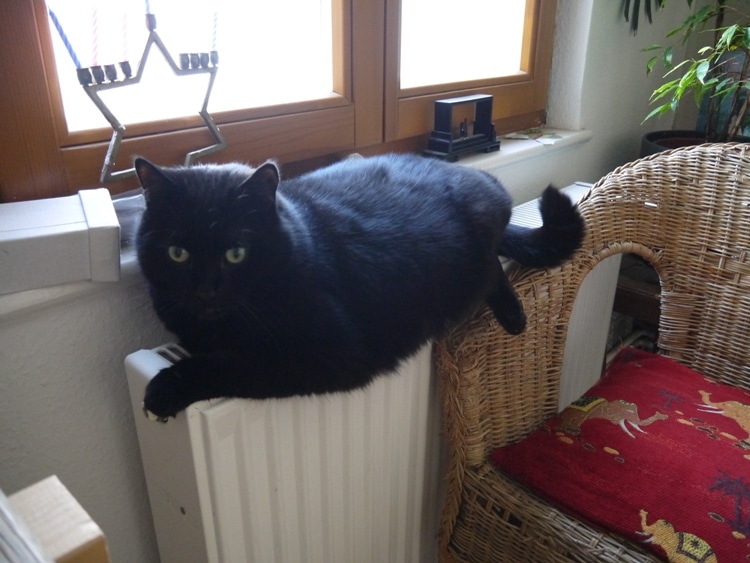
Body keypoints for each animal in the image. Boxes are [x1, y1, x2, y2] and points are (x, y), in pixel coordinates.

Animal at [137, 154, 588, 418]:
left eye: (236, 252)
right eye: (177, 253)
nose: (205, 290)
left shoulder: (327, 354)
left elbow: (233, 363)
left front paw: (168, 386)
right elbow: (217, 354)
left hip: (473, 243)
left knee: (492, 263)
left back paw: (513, 314)